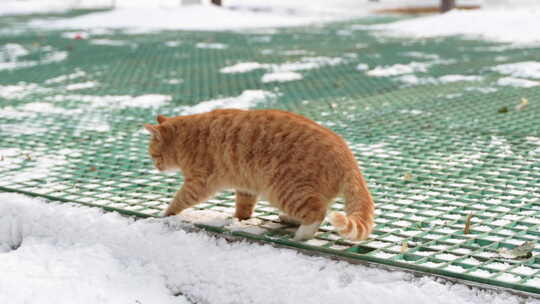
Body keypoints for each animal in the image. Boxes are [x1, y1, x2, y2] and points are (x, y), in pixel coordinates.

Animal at [146, 109, 378, 240]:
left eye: (154, 154)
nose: (156, 166)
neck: (187, 137)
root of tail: (347, 156)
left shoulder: (199, 182)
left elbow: (180, 199)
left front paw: (166, 214)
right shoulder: (245, 186)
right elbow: (243, 207)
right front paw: (239, 220)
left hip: (284, 190)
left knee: (317, 213)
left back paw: (302, 234)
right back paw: (289, 219)